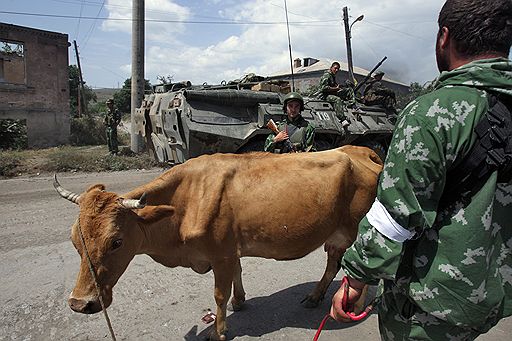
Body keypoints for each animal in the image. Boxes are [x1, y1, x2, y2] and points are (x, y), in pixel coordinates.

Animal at [56, 145, 382, 338]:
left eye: (116, 242)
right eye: (74, 241)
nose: (79, 303)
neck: (185, 200)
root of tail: (360, 151)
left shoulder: (221, 254)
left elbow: (219, 295)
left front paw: (219, 330)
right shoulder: (230, 251)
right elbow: (238, 274)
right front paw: (240, 301)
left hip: (359, 229)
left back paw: (355, 304)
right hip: (336, 234)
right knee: (333, 262)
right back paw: (315, 296)